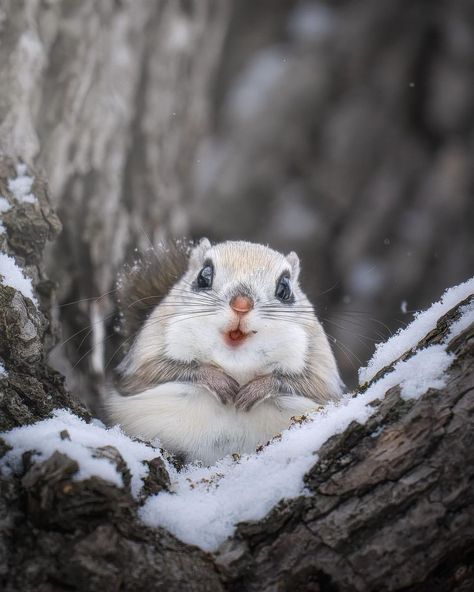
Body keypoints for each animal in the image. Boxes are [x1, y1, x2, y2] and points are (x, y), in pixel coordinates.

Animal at [105, 238, 344, 464]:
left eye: (285, 289)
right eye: (203, 276)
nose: (241, 305)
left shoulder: (322, 375)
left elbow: (307, 385)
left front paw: (257, 388)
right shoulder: (141, 365)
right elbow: (162, 370)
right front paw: (216, 380)